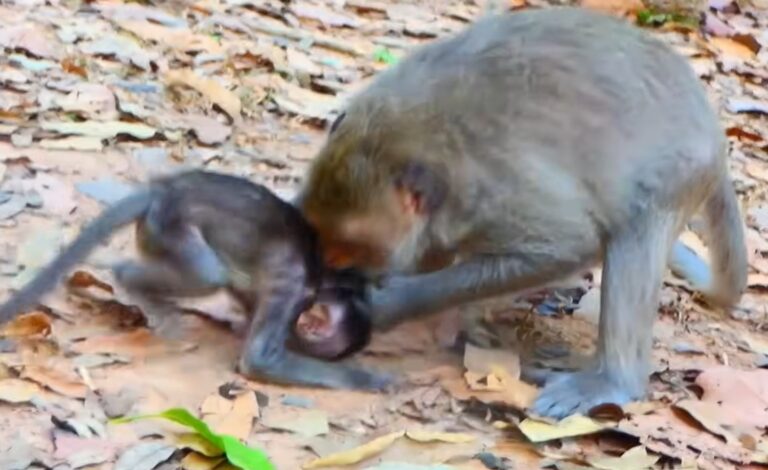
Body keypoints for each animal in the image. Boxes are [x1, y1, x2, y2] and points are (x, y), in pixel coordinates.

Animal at [0, 170, 390, 390]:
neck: (322, 278)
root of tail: (164, 191)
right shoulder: (291, 288)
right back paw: (134, 283)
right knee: (206, 272)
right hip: (170, 224)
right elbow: (259, 360)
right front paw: (369, 379)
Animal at [297, 7, 748, 418]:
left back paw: (614, 379)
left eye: (347, 251)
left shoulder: (495, 193)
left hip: (680, 172)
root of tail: (716, 136)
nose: (322, 275)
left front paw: (391, 302)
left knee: (635, 231)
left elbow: (566, 246)